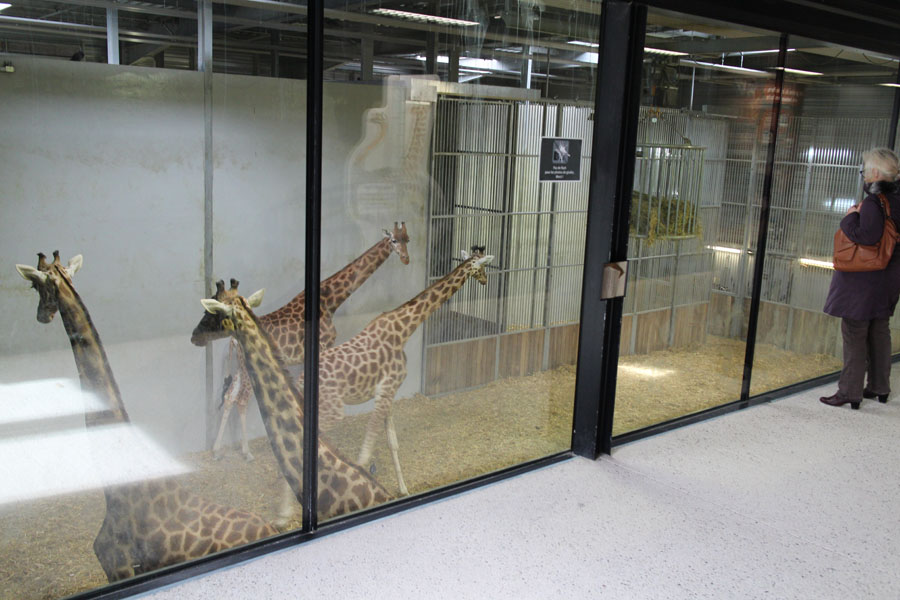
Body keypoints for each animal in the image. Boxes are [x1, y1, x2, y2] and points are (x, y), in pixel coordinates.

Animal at [211, 223, 410, 461]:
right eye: (394, 240)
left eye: (408, 239)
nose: (406, 259)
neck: (330, 301)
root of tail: (232, 340)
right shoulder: (323, 346)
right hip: (249, 368)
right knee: (241, 400)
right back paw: (247, 452)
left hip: (240, 368)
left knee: (230, 397)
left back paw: (218, 451)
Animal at [309, 248, 494, 496]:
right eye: (483, 266)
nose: (485, 281)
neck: (403, 328)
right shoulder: (386, 390)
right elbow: (368, 451)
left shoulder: (385, 394)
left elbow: (391, 442)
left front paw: (404, 489)